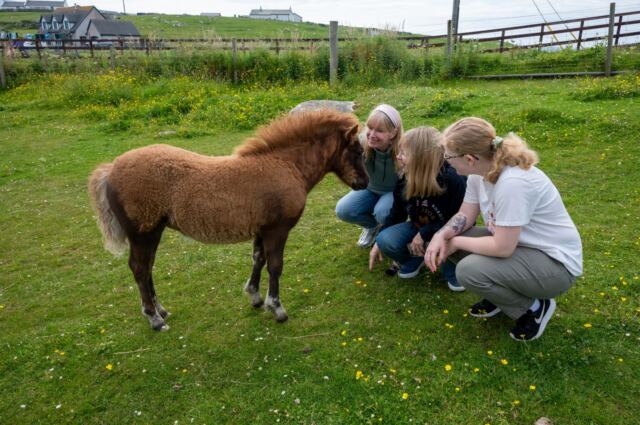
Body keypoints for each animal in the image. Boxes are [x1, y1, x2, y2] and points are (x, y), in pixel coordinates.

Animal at [88, 109, 368, 331]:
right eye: (357, 151)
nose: (364, 183)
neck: (286, 165)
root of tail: (111, 169)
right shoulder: (278, 230)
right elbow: (275, 266)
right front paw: (276, 308)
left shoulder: (262, 229)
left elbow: (258, 259)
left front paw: (255, 297)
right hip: (143, 232)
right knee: (139, 268)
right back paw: (154, 319)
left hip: (152, 232)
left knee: (147, 268)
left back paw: (161, 310)